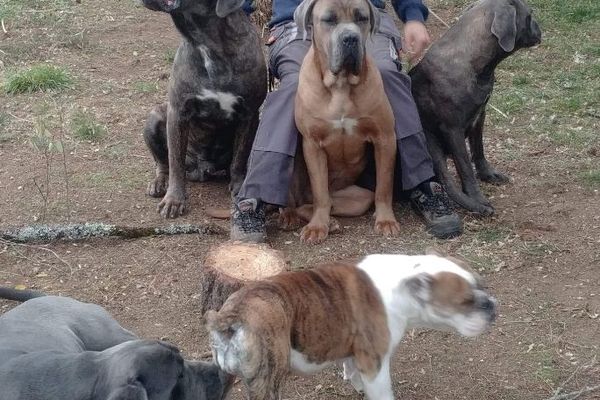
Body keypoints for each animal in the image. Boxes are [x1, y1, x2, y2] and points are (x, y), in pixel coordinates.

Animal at [142, 0, 266, 219]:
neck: (205, 42)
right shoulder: (178, 112)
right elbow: (175, 162)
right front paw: (174, 200)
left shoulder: (250, 114)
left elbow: (240, 156)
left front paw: (239, 186)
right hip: (154, 117)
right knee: (163, 163)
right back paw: (159, 183)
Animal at [410, 0, 540, 216]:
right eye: (529, 16)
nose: (540, 28)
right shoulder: (452, 129)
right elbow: (465, 168)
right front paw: (478, 198)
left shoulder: (480, 115)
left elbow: (479, 149)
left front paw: (488, 174)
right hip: (429, 141)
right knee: (445, 181)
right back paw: (476, 207)